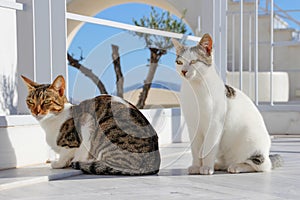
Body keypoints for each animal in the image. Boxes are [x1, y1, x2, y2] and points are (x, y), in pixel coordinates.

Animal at [21, 75, 161, 175]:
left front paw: (58, 163)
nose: (36, 112)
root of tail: (154, 163)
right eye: (30, 102)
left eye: (46, 101)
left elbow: (66, 154)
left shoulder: (76, 140)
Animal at [172, 33, 282, 174]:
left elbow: (208, 147)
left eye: (193, 61)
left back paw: (236, 166)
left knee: (261, 165)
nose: (183, 71)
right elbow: (196, 150)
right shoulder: (193, 126)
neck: (195, 89)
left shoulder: (215, 124)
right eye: (179, 62)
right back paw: (219, 165)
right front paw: (196, 166)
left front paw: (206, 168)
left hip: (250, 140)